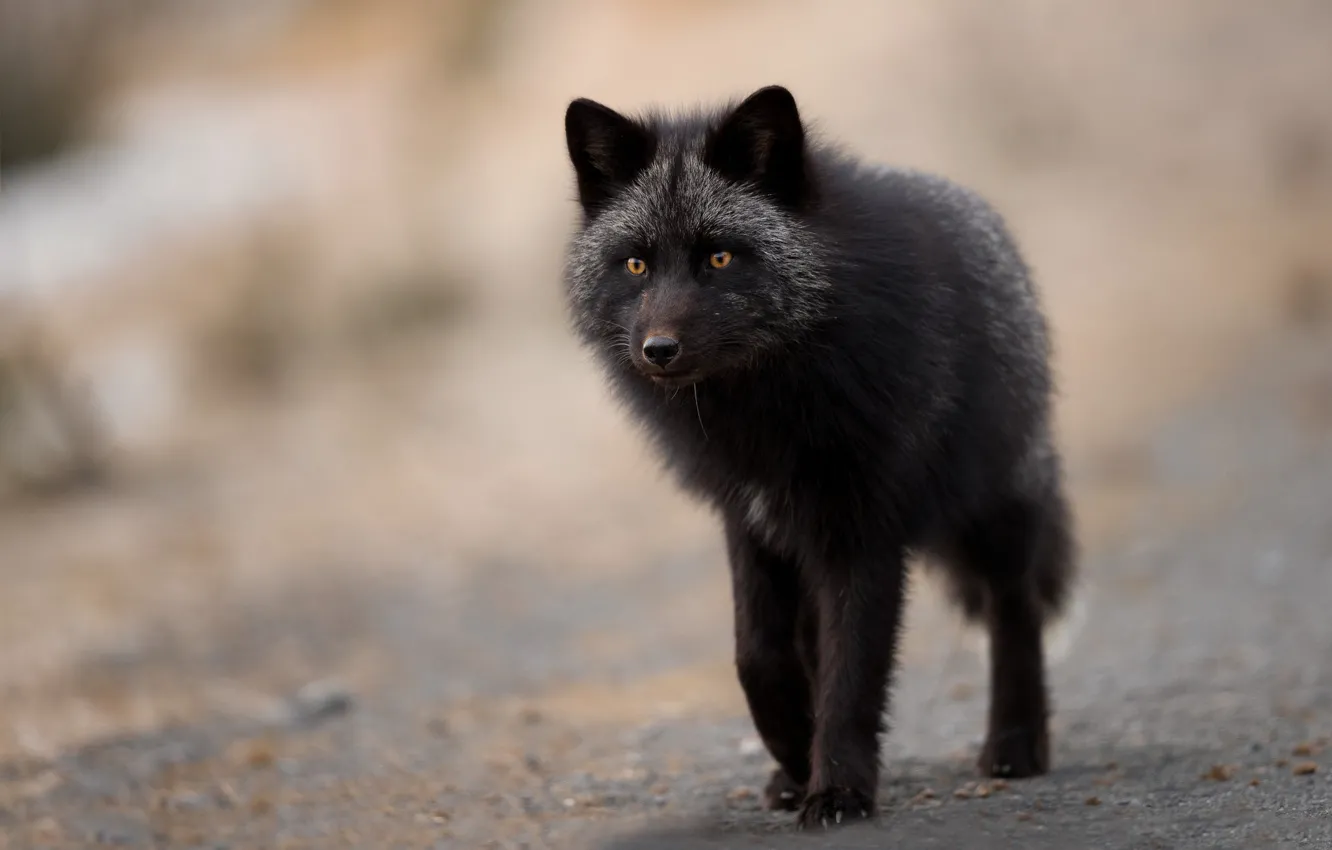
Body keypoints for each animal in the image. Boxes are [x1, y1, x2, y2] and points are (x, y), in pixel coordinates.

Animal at [561, 85, 1076, 829]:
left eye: (720, 259)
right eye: (636, 264)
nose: (657, 350)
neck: (764, 408)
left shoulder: (863, 531)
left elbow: (852, 674)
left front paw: (837, 789)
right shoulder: (751, 521)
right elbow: (759, 657)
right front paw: (796, 756)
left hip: (990, 509)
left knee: (1017, 607)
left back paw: (1016, 742)